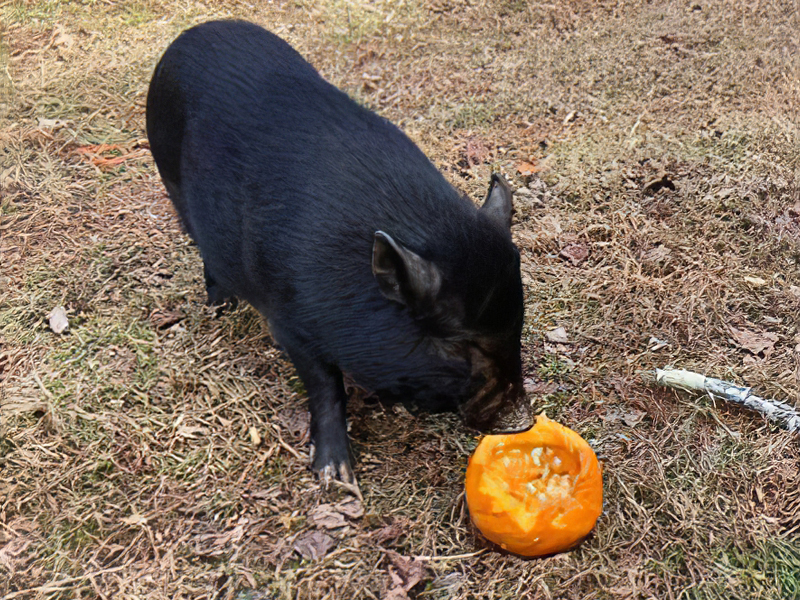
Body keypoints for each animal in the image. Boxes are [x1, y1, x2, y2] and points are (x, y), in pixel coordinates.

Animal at [146, 20, 533, 485]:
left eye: (517, 325)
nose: (525, 421)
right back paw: (221, 307)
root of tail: (191, 34)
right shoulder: (290, 321)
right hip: (168, 174)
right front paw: (336, 477)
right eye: (458, 346)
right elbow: (324, 385)